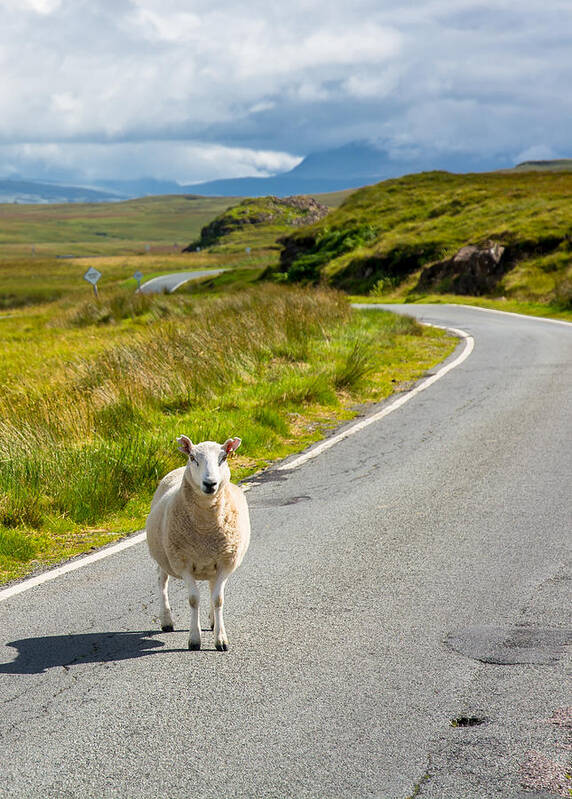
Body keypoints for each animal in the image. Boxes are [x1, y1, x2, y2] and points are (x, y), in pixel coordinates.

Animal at [146, 438, 249, 648]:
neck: (205, 530)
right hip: (164, 557)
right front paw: (194, 639)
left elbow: (218, 599)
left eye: (223, 458)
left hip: (212, 563)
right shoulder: (182, 563)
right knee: (162, 581)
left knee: (211, 588)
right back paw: (166, 620)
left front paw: (221, 638)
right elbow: (193, 599)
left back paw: (212, 621)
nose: (210, 483)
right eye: (193, 458)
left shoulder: (225, 562)